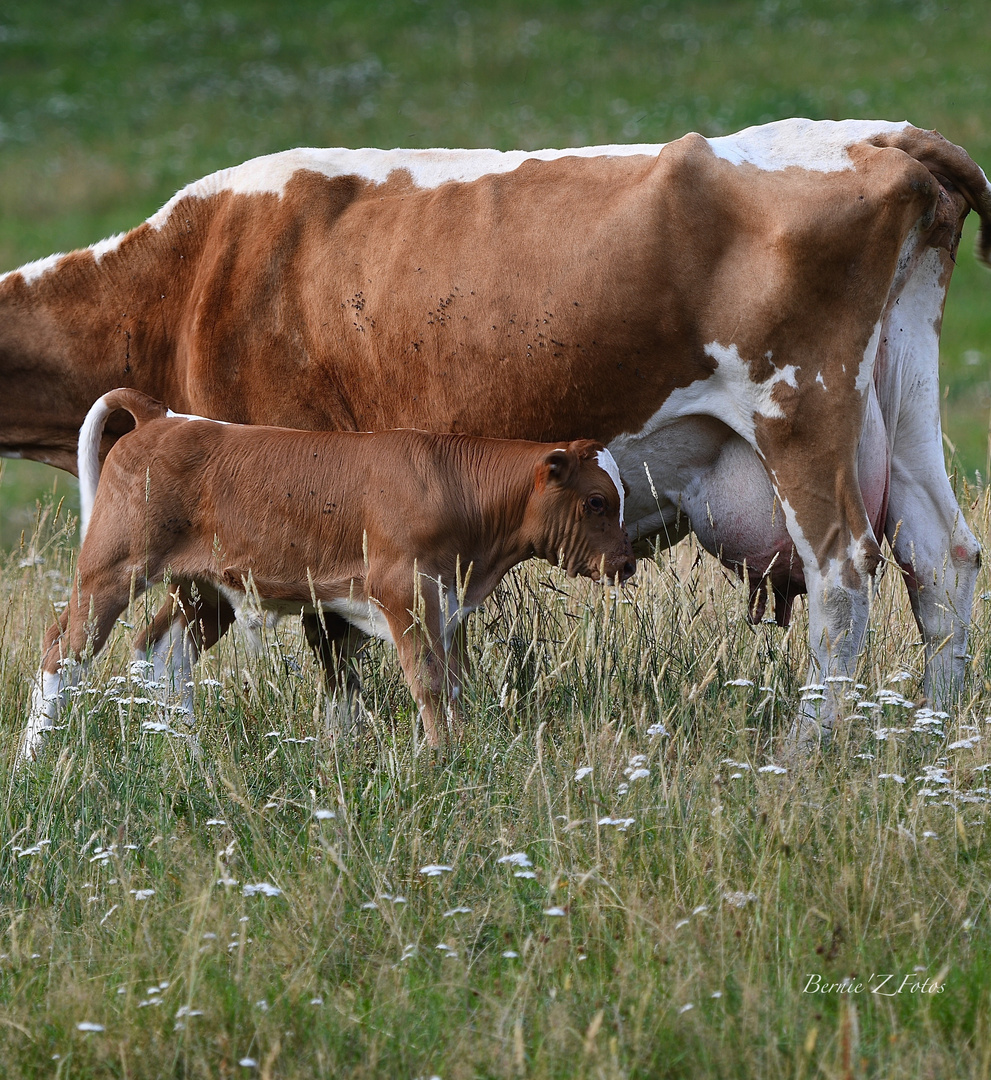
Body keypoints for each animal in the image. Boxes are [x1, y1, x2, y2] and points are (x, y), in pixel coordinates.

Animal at [23, 388, 639, 760]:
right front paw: (444, 758)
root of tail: (165, 416)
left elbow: (454, 683)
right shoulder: (405, 594)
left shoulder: (447, 604)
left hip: (200, 587)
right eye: (595, 502)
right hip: (110, 570)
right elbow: (429, 682)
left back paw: (185, 750)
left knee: (162, 651)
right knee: (61, 649)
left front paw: (460, 746)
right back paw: (33, 757)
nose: (627, 563)